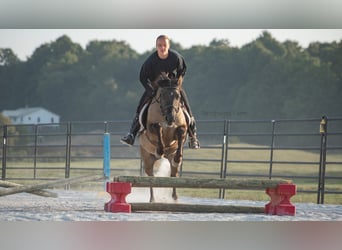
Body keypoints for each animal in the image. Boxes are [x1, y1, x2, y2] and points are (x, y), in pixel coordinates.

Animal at [138, 73, 188, 202]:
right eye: (163, 95)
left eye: (177, 96)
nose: (171, 118)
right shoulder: (151, 129)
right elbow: (158, 128)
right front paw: (159, 151)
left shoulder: (180, 129)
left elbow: (180, 135)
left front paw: (178, 157)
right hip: (147, 160)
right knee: (151, 177)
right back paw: (152, 199)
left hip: (170, 158)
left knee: (174, 175)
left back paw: (175, 198)